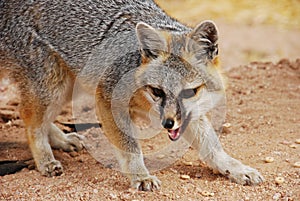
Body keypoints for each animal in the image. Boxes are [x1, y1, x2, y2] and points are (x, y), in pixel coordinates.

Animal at [0, 0, 262, 190]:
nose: (168, 124)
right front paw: (140, 175)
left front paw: (234, 167)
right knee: (29, 120)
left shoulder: (189, 114)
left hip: (70, 85)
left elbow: (212, 147)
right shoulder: (106, 100)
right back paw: (45, 159)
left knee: (34, 117)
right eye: (157, 91)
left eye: (189, 92)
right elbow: (130, 147)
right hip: (55, 87)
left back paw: (60, 139)